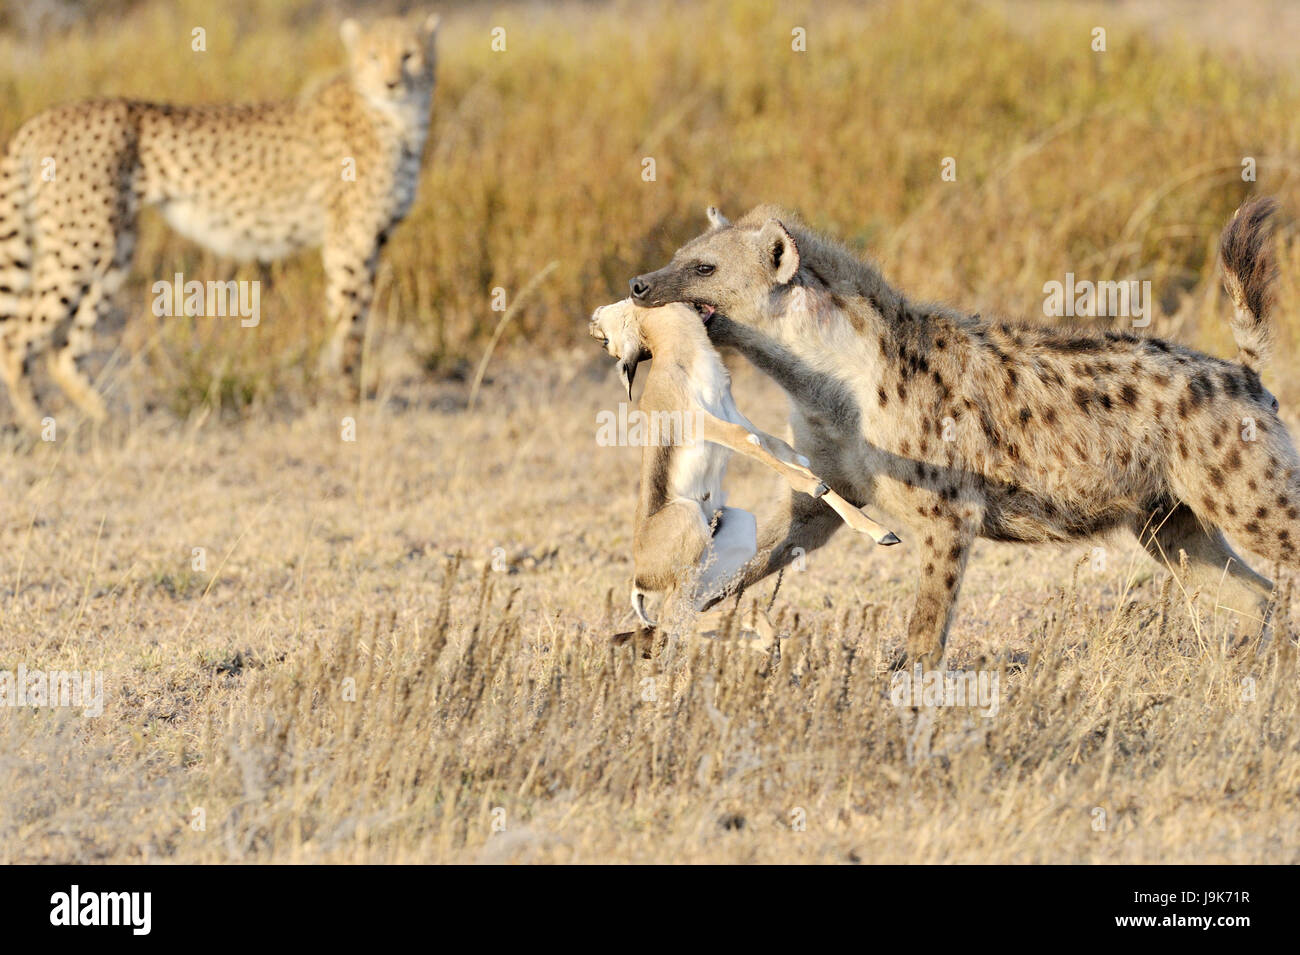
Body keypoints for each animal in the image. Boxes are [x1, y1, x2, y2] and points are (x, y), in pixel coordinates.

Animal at [0, 10, 441, 428]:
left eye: (409, 55)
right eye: (374, 56)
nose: (392, 84)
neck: (399, 118)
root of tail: (42, 117)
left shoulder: (366, 241)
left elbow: (347, 313)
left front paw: (338, 384)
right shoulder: (351, 239)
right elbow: (350, 320)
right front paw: (349, 396)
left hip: (115, 248)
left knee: (62, 349)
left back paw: (104, 416)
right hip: (82, 242)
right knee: (18, 335)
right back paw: (40, 423)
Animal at [629, 197, 1289, 670]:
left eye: (704, 268)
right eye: (679, 254)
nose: (637, 285)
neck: (825, 377)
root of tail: (1243, 373)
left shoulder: (950, 512)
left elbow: (929, 616)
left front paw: (909, 685)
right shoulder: (822, 491)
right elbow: (756, 553)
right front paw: (664, 626)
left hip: (1248, 497)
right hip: (1167, 521)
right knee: (1252, 590)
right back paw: (1253, 672)